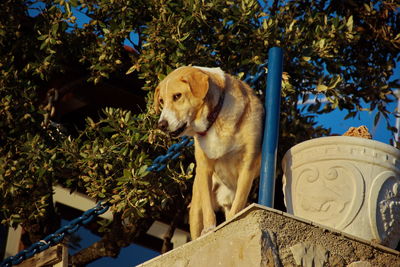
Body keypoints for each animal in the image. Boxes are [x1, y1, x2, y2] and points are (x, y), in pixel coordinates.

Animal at [155, 66, 264, 240]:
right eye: (161, 101)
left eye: (177, 96)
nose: (161, 125)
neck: (216, 118)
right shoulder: (204, 168)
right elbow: (208, 210)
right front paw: (209, 229)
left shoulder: (247, 167)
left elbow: (237, 209)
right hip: (195, 208)